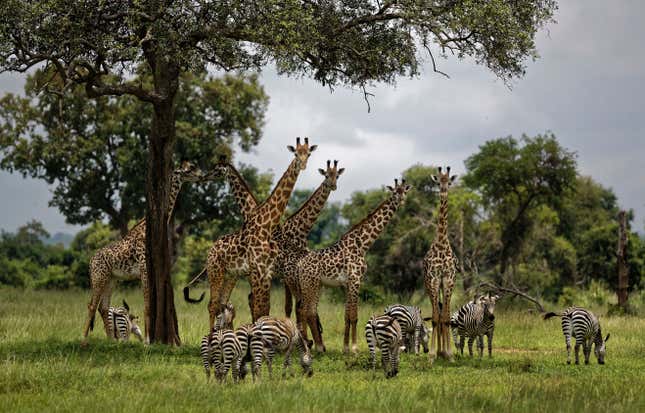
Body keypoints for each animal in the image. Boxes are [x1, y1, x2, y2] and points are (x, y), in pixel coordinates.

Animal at [81, 160, 206, 342]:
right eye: (189, 169)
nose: (202, 175)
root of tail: (90, 261)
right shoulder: (144, 269)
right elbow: (147, 306)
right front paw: (148, 340)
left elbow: (148, 305)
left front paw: (148, 339)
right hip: (99, 277)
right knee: (92, 305)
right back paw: (83, 339)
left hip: (111, 279)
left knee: (103, 307)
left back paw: (111, 340)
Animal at [199, 137, 314, 326]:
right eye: (296, 154)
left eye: (308, 154)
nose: (204, 176)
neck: (265, 223)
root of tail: (211, 249)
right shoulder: (257, 271)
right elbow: (258, 307)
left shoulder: (264, 272)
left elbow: (262, 308)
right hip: (217, 271)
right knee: (213, 304)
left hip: (232, 274)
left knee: (221, 304)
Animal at [294, 177, 410, 350]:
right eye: (395, 192)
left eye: (404, 191)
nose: (401, 200)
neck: (363, 245)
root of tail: (300, 265)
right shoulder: (356, 280)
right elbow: (354, 315)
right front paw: (355, 348)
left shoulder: (347, 283)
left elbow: (347, 315)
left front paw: (346, 347)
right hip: (310, 284)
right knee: (305, 310)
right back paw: (315, 346)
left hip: (315, 285)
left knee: (308, 311)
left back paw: (316, 345)